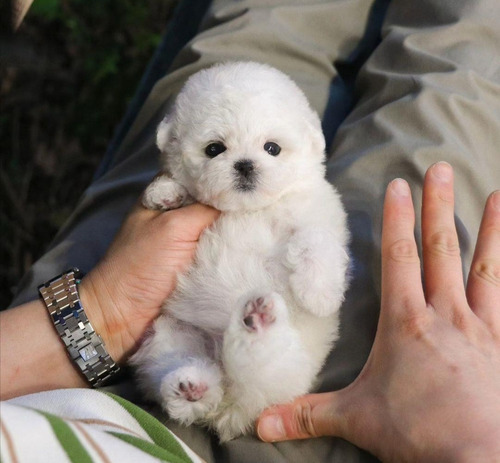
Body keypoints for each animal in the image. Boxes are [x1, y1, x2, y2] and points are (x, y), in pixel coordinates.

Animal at [131, 61, 350, 442]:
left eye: (272, 148)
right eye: (214, 149)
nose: (246, 164)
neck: (250, 210)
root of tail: (230, 411)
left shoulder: (318, 214)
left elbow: (314, 239)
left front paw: (319, 294)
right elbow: (176, 188)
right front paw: (165, 193)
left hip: (287, 371)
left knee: (262, 365)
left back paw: (257, 323)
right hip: (167, 335)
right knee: (173, 369)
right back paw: (191, 387)